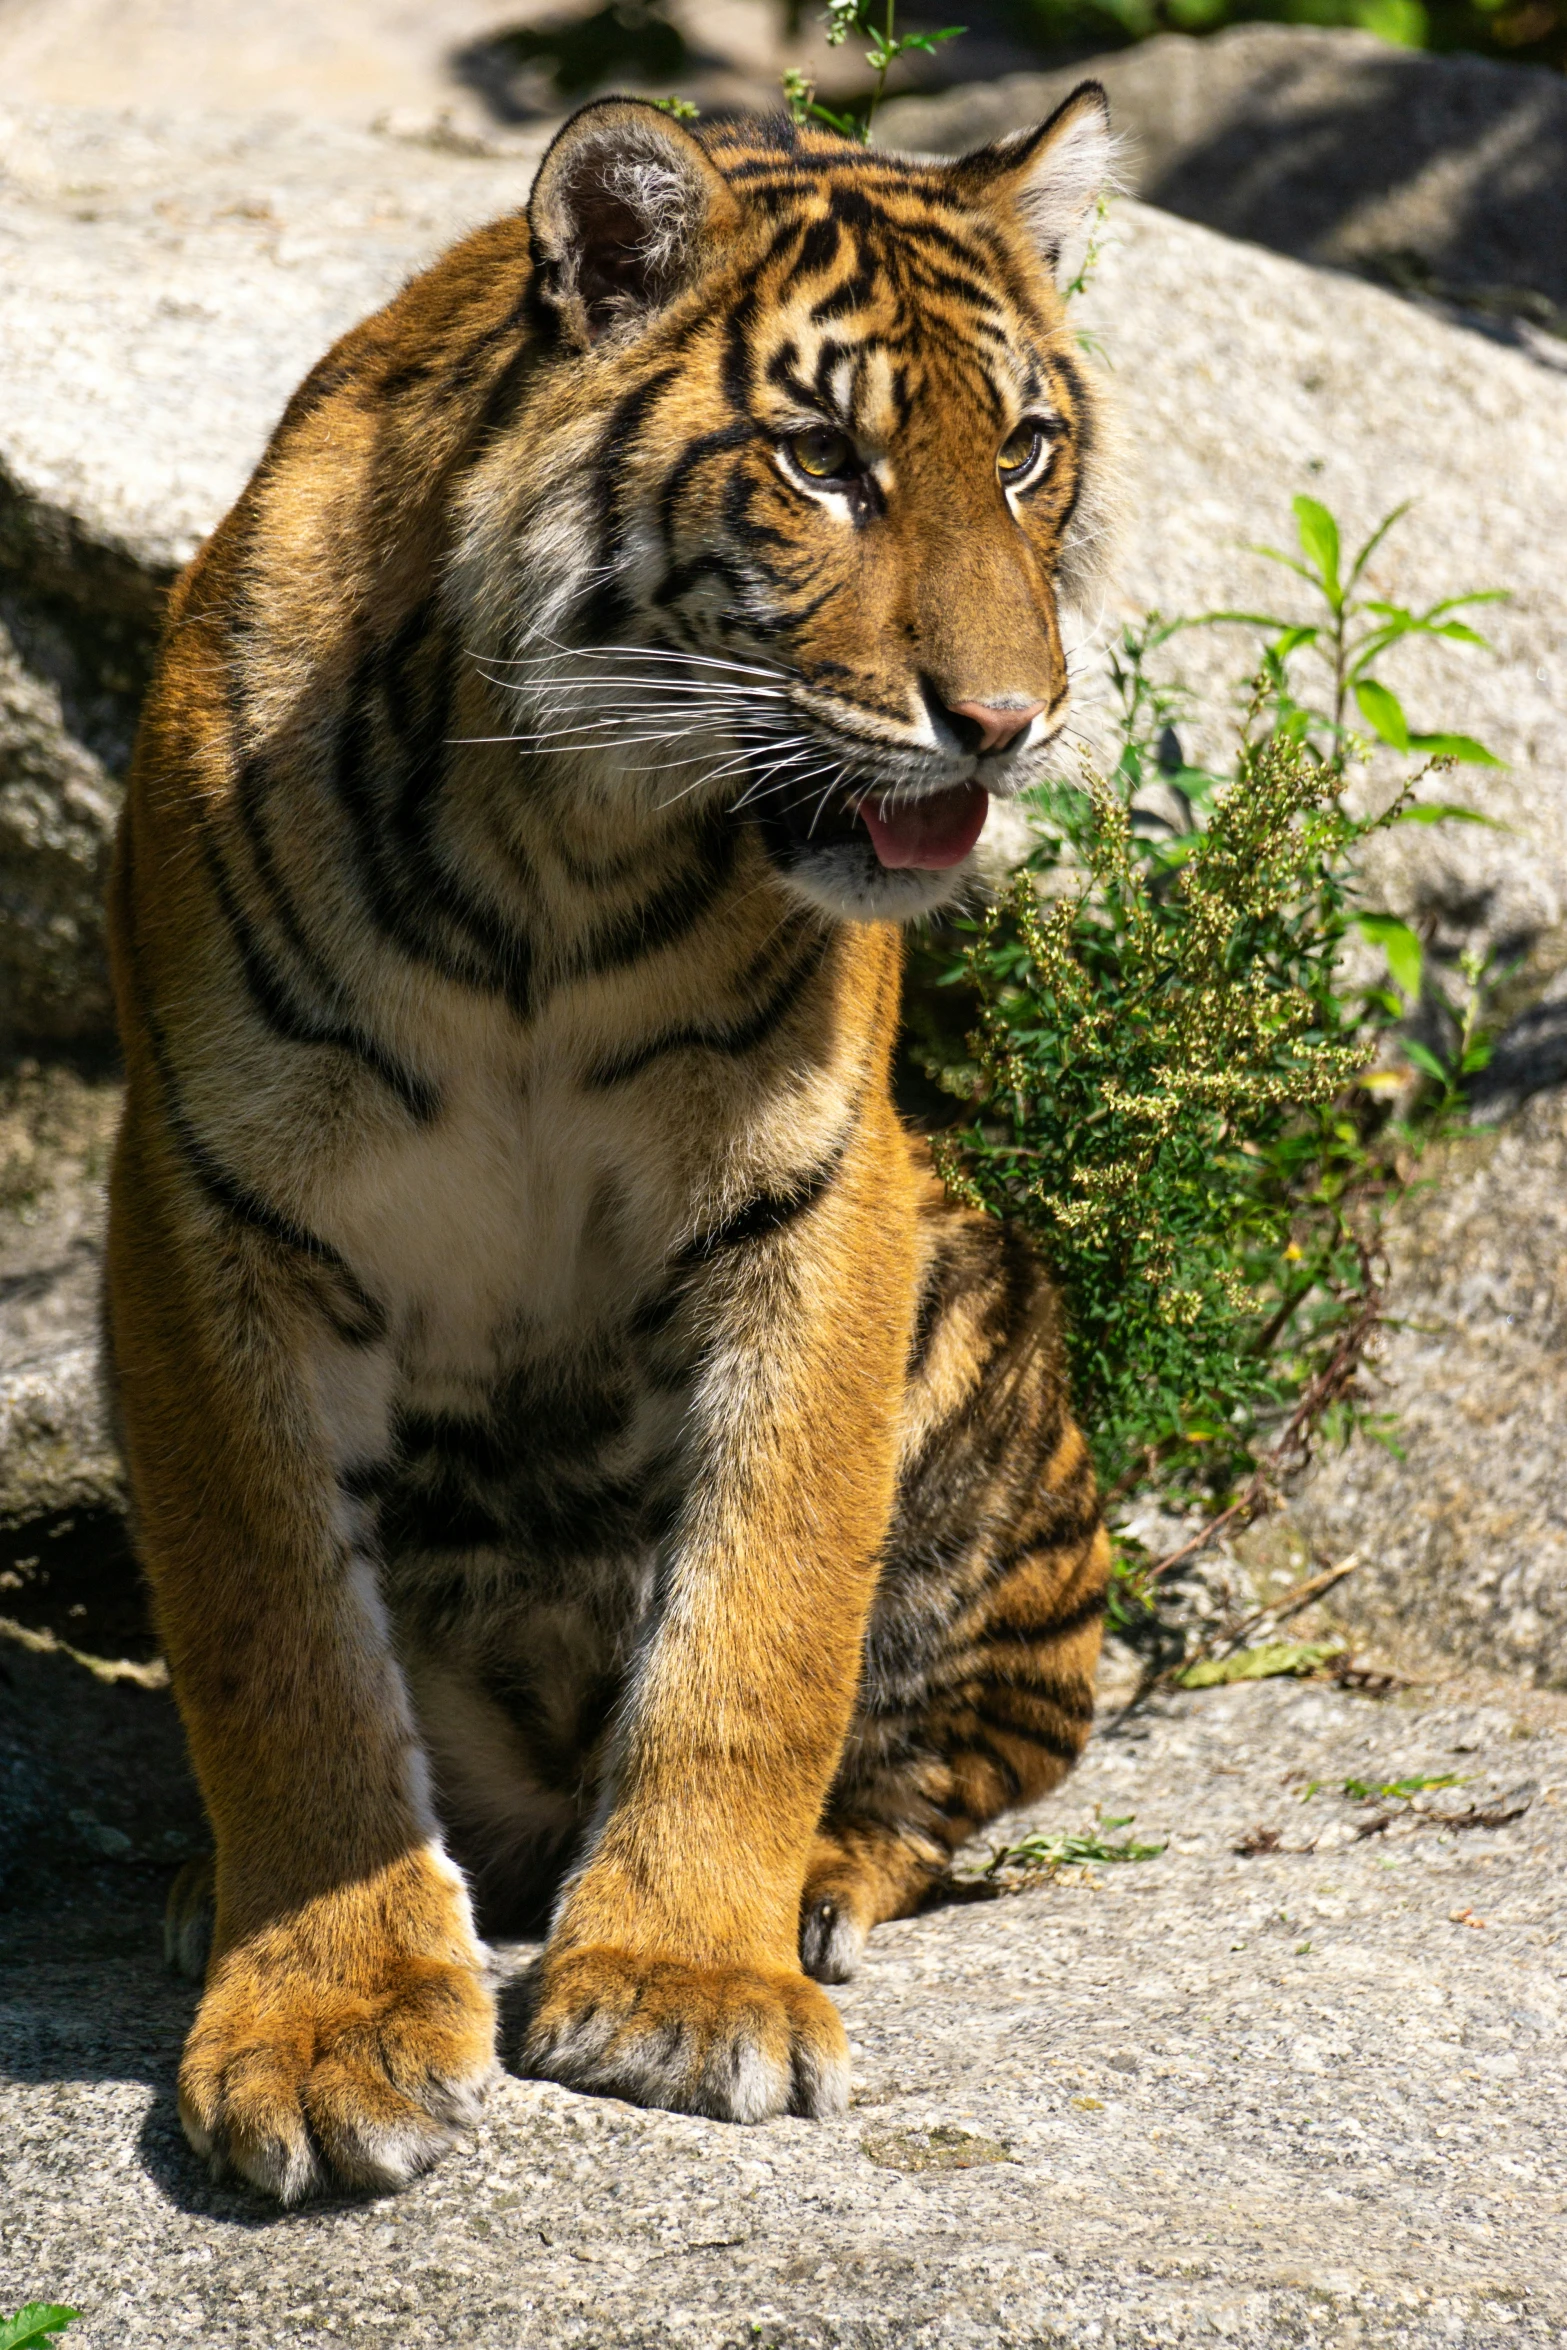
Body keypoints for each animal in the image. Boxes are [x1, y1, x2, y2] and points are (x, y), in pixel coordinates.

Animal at [107, 86, 1113, 2199]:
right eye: (821, 461)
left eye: (1026, 450)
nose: (1007, 723)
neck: (563, 840)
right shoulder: (211, 1211)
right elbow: (276, 1643)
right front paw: (322, 2020)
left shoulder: (811, 1202)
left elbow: (759, 1623)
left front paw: (685, 1984)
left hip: (974, 1330)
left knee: (965, 1760)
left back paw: (813, 1883)